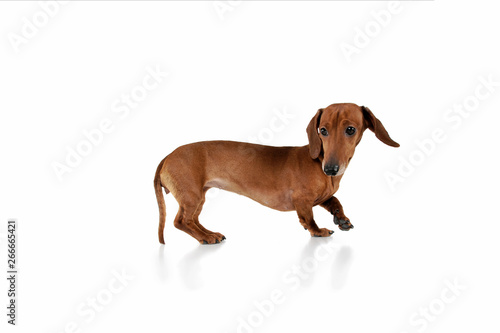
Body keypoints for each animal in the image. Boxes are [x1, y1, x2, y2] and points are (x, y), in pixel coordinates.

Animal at [153, 103, 398, 244]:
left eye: (350, 129)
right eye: (322, 130)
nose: (330, 169)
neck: (319, 162)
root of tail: (166, 156)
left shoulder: (322, 197)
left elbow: (335, 200)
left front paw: (341, 218)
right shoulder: (302, 199)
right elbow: (309, 218)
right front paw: (317, 230)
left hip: (198, 196)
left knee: (192, 220)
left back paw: (209, 233)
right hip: (191, 195)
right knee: (180, 221)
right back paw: (205, 237)